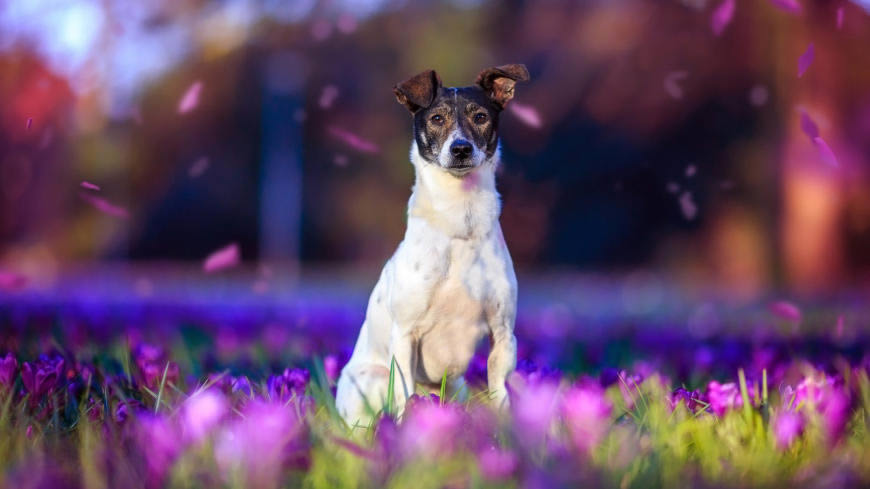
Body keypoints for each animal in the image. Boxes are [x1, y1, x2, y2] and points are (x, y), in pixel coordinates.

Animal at [336, 63, 532, 426]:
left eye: (481, 116)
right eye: (437, 118)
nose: (460, 149)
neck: (460, 221)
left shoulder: (502, 334)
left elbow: (500, 393)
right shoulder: (405, 335)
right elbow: (404, 396)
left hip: (458, 388)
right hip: (371, 381)